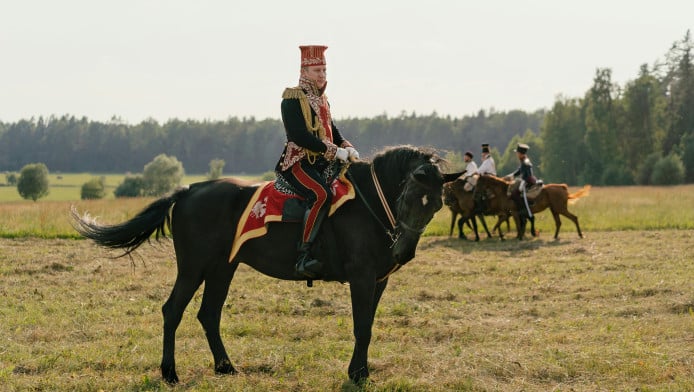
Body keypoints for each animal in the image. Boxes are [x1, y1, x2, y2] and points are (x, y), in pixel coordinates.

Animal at [72, 145, 462, 384]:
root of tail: (188, 190)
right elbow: (361, 327)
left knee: (208, 314)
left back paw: (226, 367)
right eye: (409, 196)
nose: (403, 253)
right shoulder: (362, 278)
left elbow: (367, 325)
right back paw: (170, 372)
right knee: (173, 310)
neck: (369, 203)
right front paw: (358, 374)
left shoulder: (379, 280)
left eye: (436, 205)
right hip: (194, 266)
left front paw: (361, 371)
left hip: (222, 268)